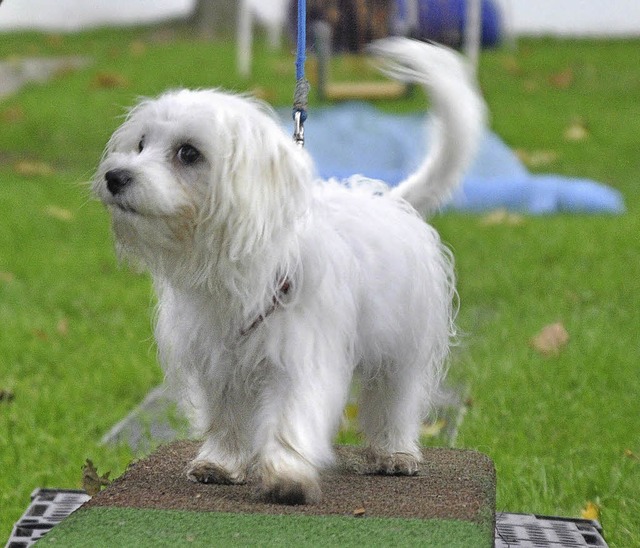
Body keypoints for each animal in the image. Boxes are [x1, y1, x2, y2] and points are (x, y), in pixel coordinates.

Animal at [94, 36, 484, 504]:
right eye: (140, 145)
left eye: (188, 153)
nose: (116, 176)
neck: (237, 266)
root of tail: (391, 201)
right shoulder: (220, 362)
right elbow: (228, 416)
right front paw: (221, 462)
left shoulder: (301, 358)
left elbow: (289, 417)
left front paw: (285, 475)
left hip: (400, 348)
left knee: (395, 401)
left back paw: (393, 452)